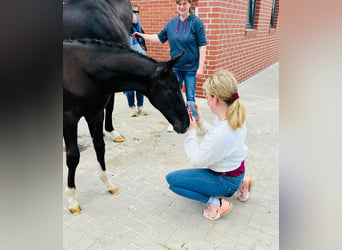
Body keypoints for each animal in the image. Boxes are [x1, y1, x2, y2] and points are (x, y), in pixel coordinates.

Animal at [62, 39, 188, 215]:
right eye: (172, 89)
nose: (186, 124)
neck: (85, 72)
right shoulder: (69, 118)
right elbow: (73, 156)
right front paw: (73, 201)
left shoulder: (95, 114)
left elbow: (100, 147)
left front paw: (109, 184)